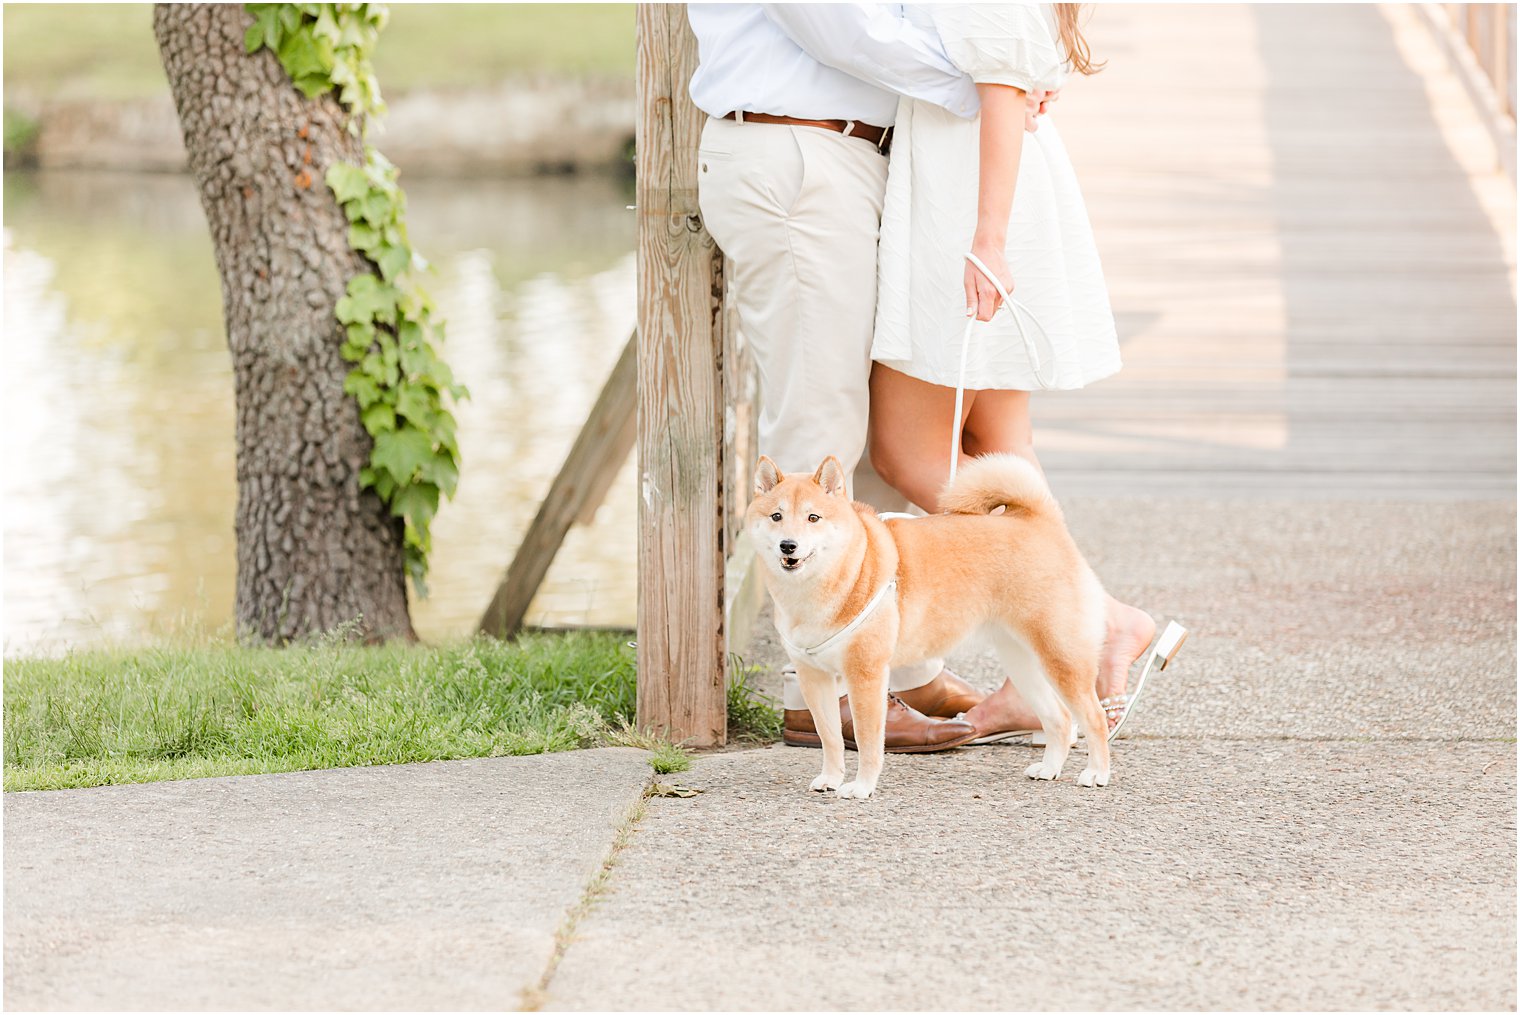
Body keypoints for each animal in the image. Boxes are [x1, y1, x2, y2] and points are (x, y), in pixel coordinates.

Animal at [750, 452, 1118, 802]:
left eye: (813, 518)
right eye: (776, 517)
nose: (788, 545)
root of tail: (1038, 521)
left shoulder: (865, 674)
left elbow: (867, 741)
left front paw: (862, 786)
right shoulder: (814, 677)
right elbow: (830, 737)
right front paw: (830, 778)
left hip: (1060, 658)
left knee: (1093, 717)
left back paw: (1097, 773)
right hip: (1023, 665)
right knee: (1060, 718)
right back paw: (1050, 768)